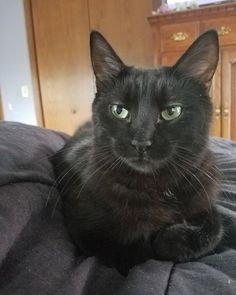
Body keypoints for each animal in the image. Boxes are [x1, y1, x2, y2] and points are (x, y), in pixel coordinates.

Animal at [51, 30, 223, 276]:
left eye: (172, 112)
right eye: (119, 110)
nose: (141, 143)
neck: (158, 186)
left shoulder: (205, 196)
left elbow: (215, 226)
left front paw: (172, 239)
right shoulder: (83, 229)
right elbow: (135, 253)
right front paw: (159, 239)